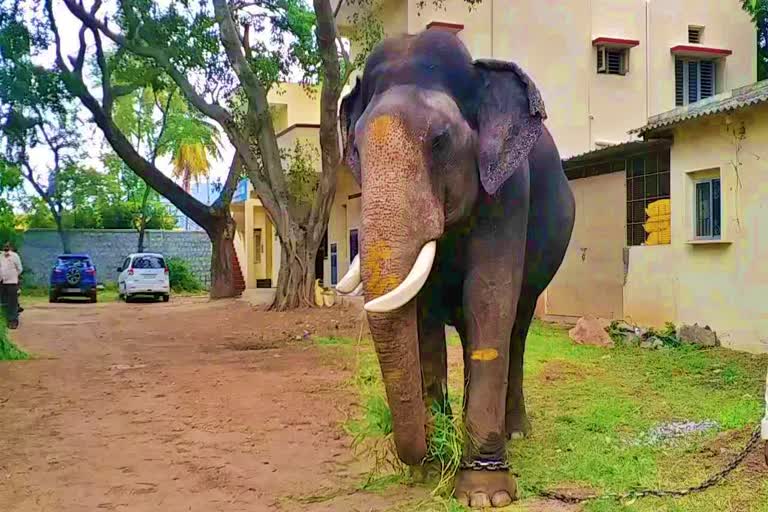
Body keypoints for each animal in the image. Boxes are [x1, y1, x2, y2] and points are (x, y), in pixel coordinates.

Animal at [336, 31, 576, 508]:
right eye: (356, 150)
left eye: (440, 140)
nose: (423, 454)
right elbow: (425, 314)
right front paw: (432, 468)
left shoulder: (509, 190)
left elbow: (488, 296)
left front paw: (484, 495)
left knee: (515, 328)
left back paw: (515, 432)